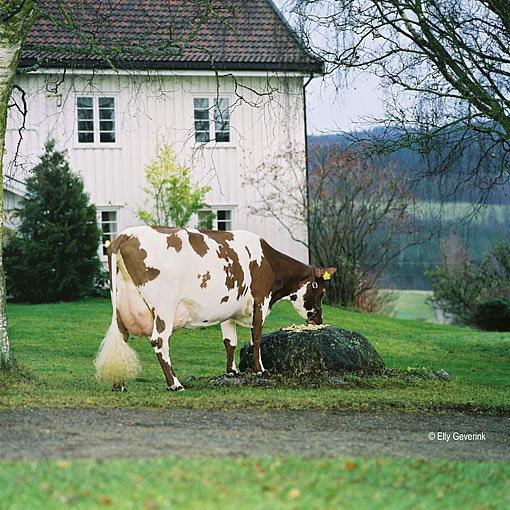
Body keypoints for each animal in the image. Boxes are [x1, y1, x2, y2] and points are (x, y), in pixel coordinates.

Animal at [94, 226, 334, 390]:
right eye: (322, 292)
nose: (319, 320)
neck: (268, 261)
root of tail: (125, 236)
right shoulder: (260, 299)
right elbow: (256, 337)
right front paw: (259, 370)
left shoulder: (228, 309)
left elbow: (230, 342)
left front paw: (232, 371)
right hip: (164, 307)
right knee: (159, 341)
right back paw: (175, 384)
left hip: (120, 306)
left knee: (122, 339)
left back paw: (119, 384)